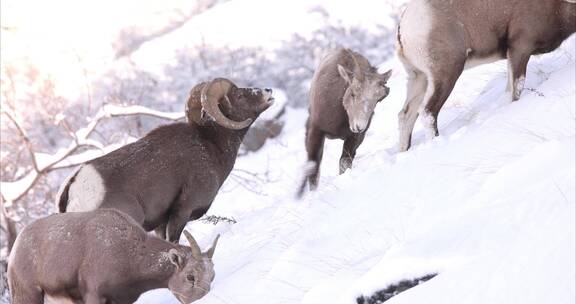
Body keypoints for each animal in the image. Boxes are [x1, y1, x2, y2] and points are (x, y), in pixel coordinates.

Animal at [57, 78, 274, 242]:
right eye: (239, 95)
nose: (268, 91)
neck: (210, 146)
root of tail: (75, 186)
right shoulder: (182, 211)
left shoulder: (161, 223)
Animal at [300, 48, 394, 196]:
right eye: (353, 93)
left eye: (379, 99)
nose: (359, 126)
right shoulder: (316, 131)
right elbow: (313, 169)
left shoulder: (354, 138)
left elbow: (344, 163)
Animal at [398, 0, 572, 151]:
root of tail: (404, 29)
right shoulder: (520, 49)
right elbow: (516, 89)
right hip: (446, 75)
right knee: (428, 112)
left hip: (420, 79)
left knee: (405, 116)